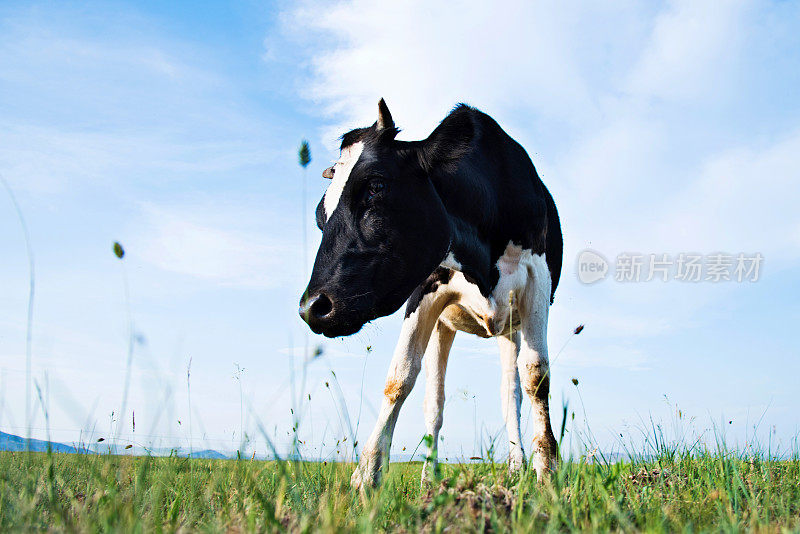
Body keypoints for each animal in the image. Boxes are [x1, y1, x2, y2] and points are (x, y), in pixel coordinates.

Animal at [300, 99, 564, 490]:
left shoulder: (537, 279)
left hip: (509, 327)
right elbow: (399, 377)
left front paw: (548, 473)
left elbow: (536, 377)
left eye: (375, 186)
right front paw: (367, 473)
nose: (312, 307)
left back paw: (517, 469)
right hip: (446, 324)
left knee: (510, 396)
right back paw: (429, 478)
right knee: (435, 402)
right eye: (321, 216)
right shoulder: (424, 289)